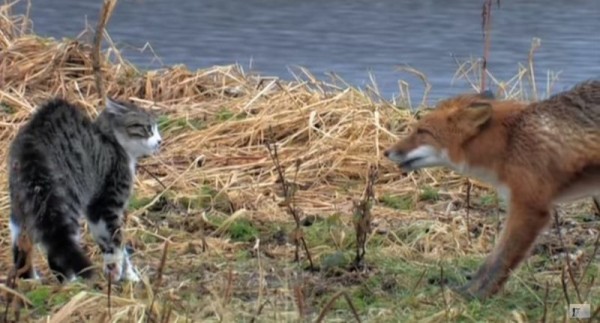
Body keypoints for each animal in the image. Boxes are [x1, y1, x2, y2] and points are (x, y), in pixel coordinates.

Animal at [8, 98, 162, 284]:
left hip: (22, 207)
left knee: (21, 245)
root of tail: (31, 147)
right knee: (58, 249)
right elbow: (115, 241)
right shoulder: (105, 204)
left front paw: (128, 275)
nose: (160, 141)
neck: (113, 142)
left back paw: (29, 281)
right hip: (65, 206)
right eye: (148, 128)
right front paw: (117, 272)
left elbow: (113, 243)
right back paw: (72, 284)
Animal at [384, 81, 600, 302]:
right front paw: (469, 291)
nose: (386, 152)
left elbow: (499, 261)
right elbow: (492, 261)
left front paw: (477, 295)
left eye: (422, 131)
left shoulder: (529, 208)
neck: (509, 142)